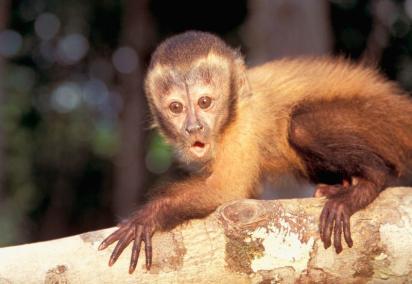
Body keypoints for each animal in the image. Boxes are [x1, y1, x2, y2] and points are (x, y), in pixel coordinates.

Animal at [99, 30, 412, 272]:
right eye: (176, 107)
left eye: (204, 102)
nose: (193, 128)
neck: (232, 112)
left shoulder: (243, 128)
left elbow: (226, 191)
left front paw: (147, 216)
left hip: (378, 120)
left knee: (300, 127)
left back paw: (369, 182)